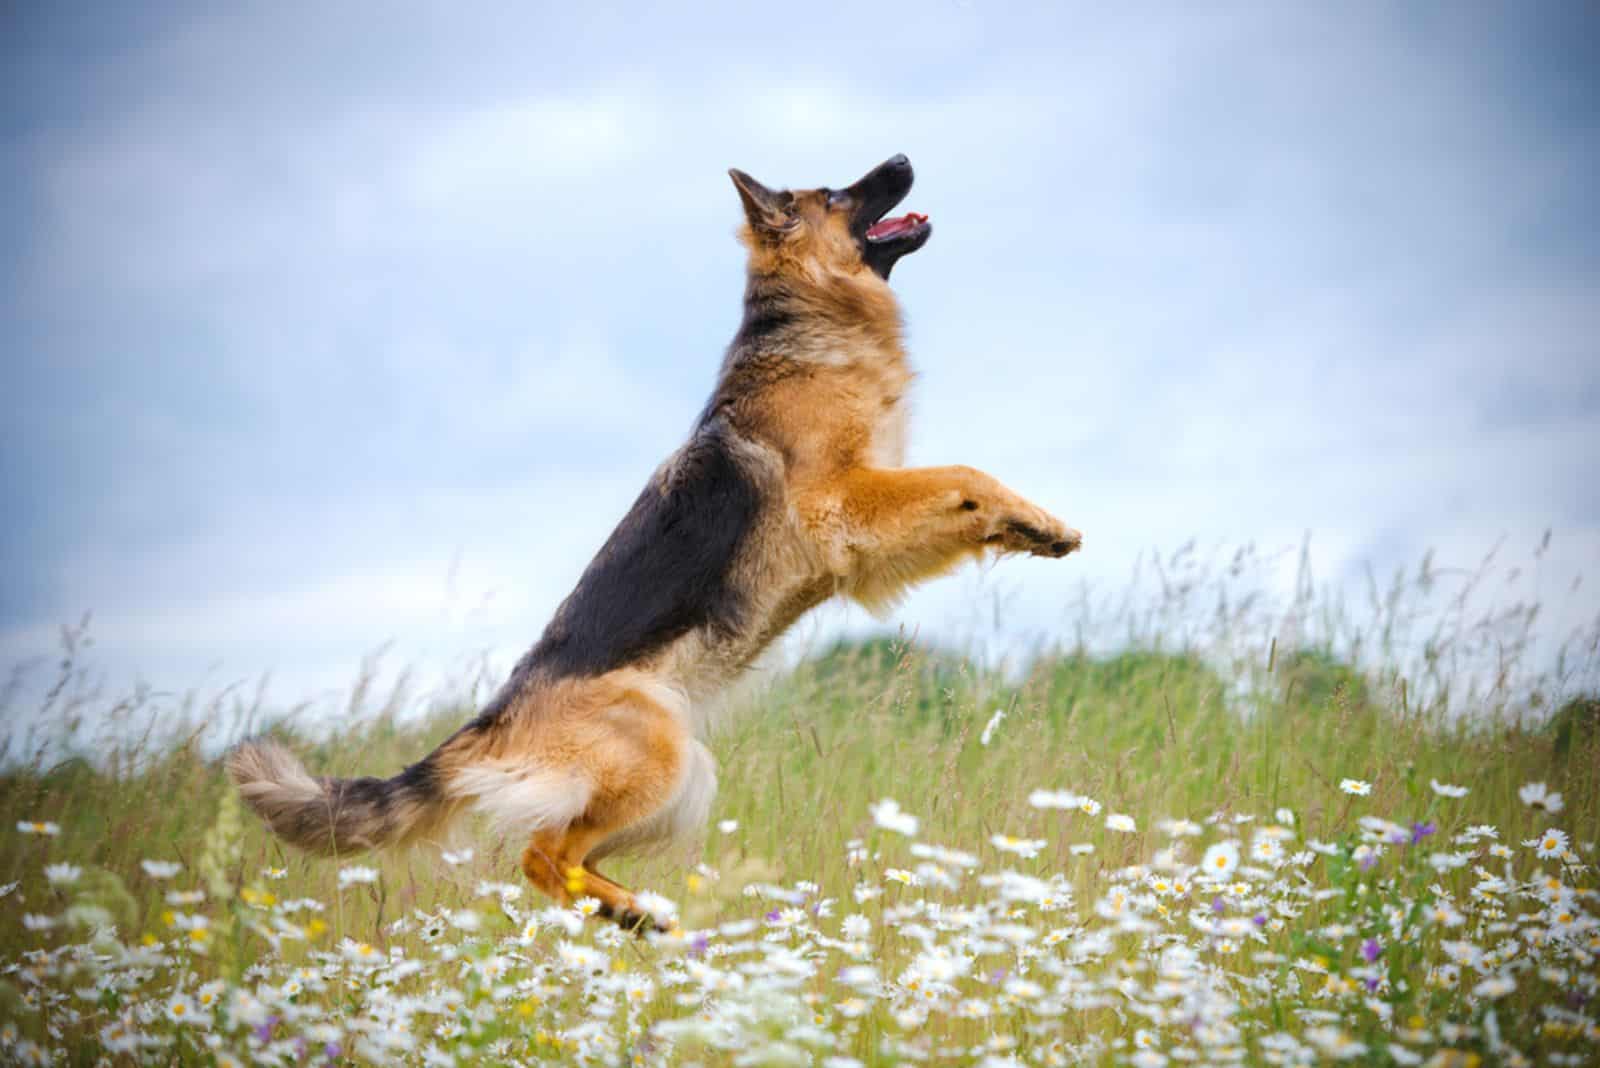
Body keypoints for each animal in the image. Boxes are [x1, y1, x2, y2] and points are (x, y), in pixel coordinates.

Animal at [232, 154, 1081, 927]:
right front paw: (1046, 523)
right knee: (540, 855)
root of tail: (491, 719)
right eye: (836, 193)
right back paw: (635, 915)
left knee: (562, 856)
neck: (807, 317)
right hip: (665, 760)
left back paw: (635, 914)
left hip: (678, 789)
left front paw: (1029, 527)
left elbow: (962, 496)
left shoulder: (868, 535)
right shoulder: (845, 507)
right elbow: (965, 472)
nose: (902, 158)